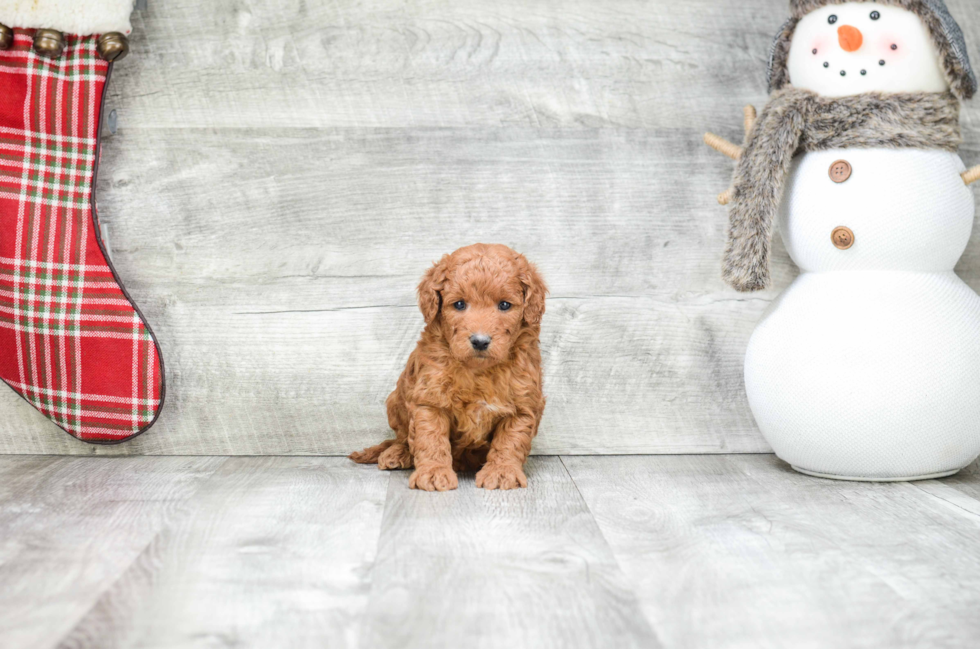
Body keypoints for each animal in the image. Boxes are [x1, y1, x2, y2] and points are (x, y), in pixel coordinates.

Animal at [350, 243, 552, 492]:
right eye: (459, 304)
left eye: (505, 305)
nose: (480, 341)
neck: (479, 371)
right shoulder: (429, 400)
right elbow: (431, 439)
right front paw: (433, 472)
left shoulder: (523, 404)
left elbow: (510, 441)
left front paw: (501, 471)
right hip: (395, 401)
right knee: (402, 437)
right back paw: (397, 453)